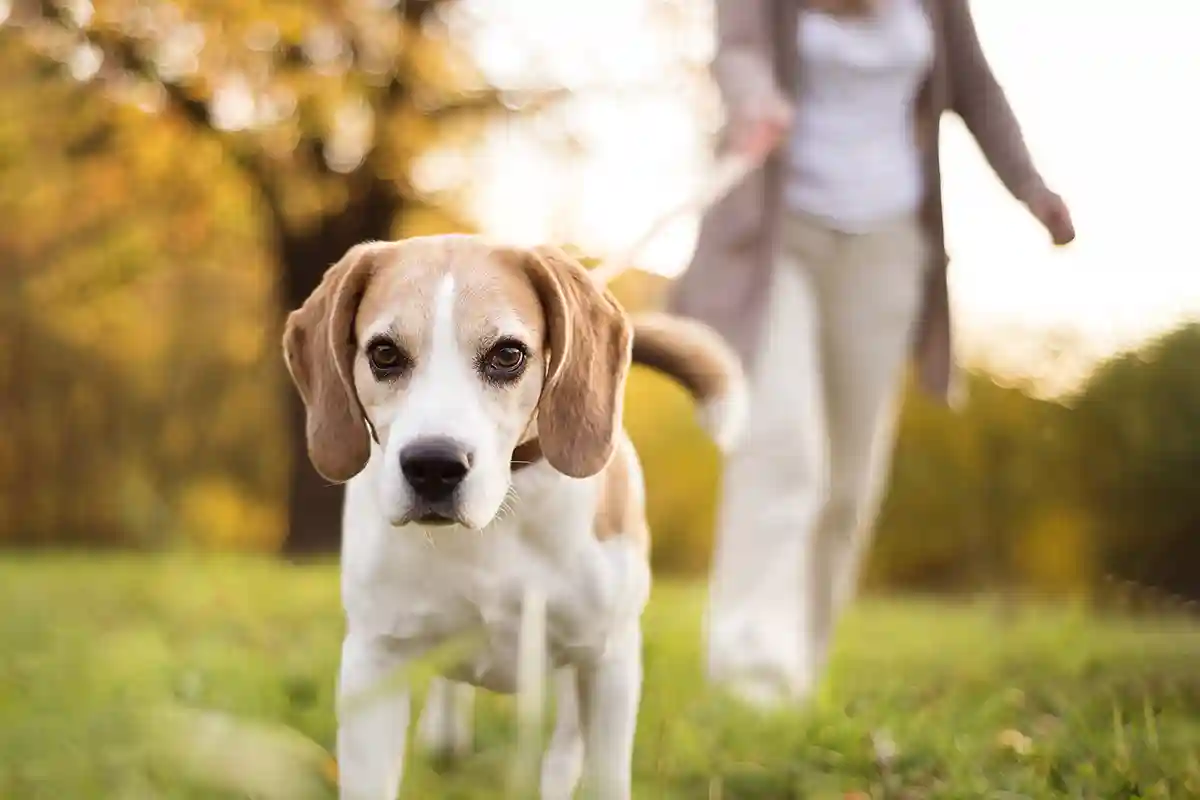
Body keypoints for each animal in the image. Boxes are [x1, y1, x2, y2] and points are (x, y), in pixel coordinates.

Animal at [284, 235, 744, 796]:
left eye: (507, 354)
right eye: (384, 353)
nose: (433, 466)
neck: (499, 518)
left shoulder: (609, 660)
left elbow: (605, 775)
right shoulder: (374, 661)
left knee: (566, 743)